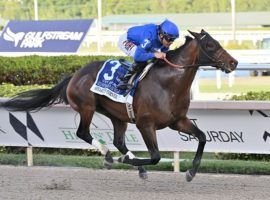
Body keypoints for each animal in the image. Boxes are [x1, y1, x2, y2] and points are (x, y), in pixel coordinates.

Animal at [0, 29, 237, 181]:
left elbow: (202, 137)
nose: (233, 62)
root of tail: (75, 75)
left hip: (118, 116)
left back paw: (133, 164)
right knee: (83, 133)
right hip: (87, 108)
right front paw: (127, 161)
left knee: (119, 141)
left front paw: (191, 172)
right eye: (210, 45)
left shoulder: (177, 121)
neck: (168, 84)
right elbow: (156, 156)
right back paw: (108, 156)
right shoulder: (145, 124)